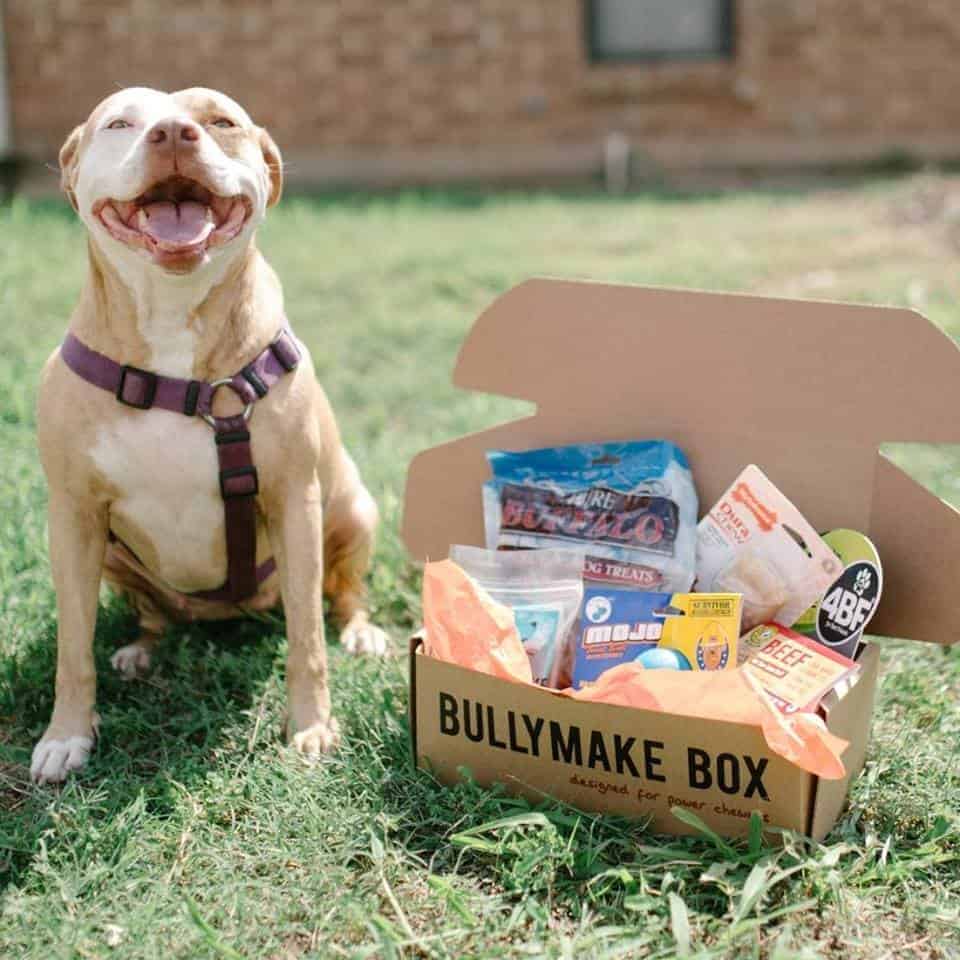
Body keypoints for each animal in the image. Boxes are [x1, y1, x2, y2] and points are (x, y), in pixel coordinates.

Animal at [31, 86, 388, 784]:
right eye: (119, 122)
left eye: (221, 121)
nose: (173, 133)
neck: (173, 318)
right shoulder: (73, 515)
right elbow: (72, 647)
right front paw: (67, 735)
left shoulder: (295, 499)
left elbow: (307, 636)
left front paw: (311, 726)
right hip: (110, 553)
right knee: (152, 613)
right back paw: (140, 650)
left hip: (355, 510)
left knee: (342, 592)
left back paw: (361, 631)